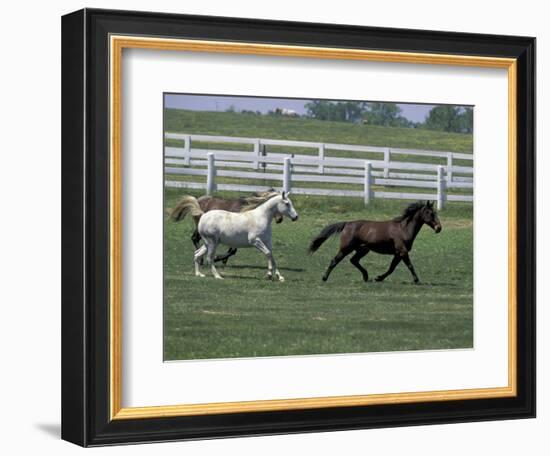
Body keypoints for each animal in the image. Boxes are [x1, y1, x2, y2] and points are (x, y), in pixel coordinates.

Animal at [310, 200, 444, 284]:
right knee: (335, 261)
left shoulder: (398, 253)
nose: (439, 228)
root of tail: (347, 224)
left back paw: (366, 276)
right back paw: (324, 278)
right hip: (346, 248)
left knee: (354, 260)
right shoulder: (402, 251)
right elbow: (409, 266)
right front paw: (417, 280)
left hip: (363, 249)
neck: (403, 229)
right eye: (429, 213)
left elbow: (391, 268)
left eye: (436, 213)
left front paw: (378, 278)